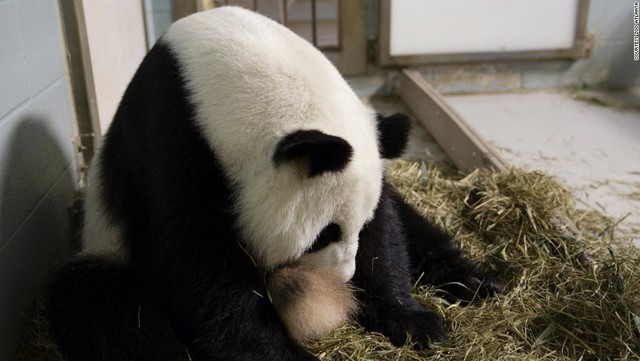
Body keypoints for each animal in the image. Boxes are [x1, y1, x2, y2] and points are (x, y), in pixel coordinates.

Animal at [47, 7, 502, 360]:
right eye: (324, 234)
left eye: (356, 227)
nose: (343, 277)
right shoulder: (172, 145)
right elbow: (198, 270)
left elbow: (388, 230)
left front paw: (411, 320)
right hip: (105, 246)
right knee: (109, 308)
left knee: (416, 226)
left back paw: (479, 281)